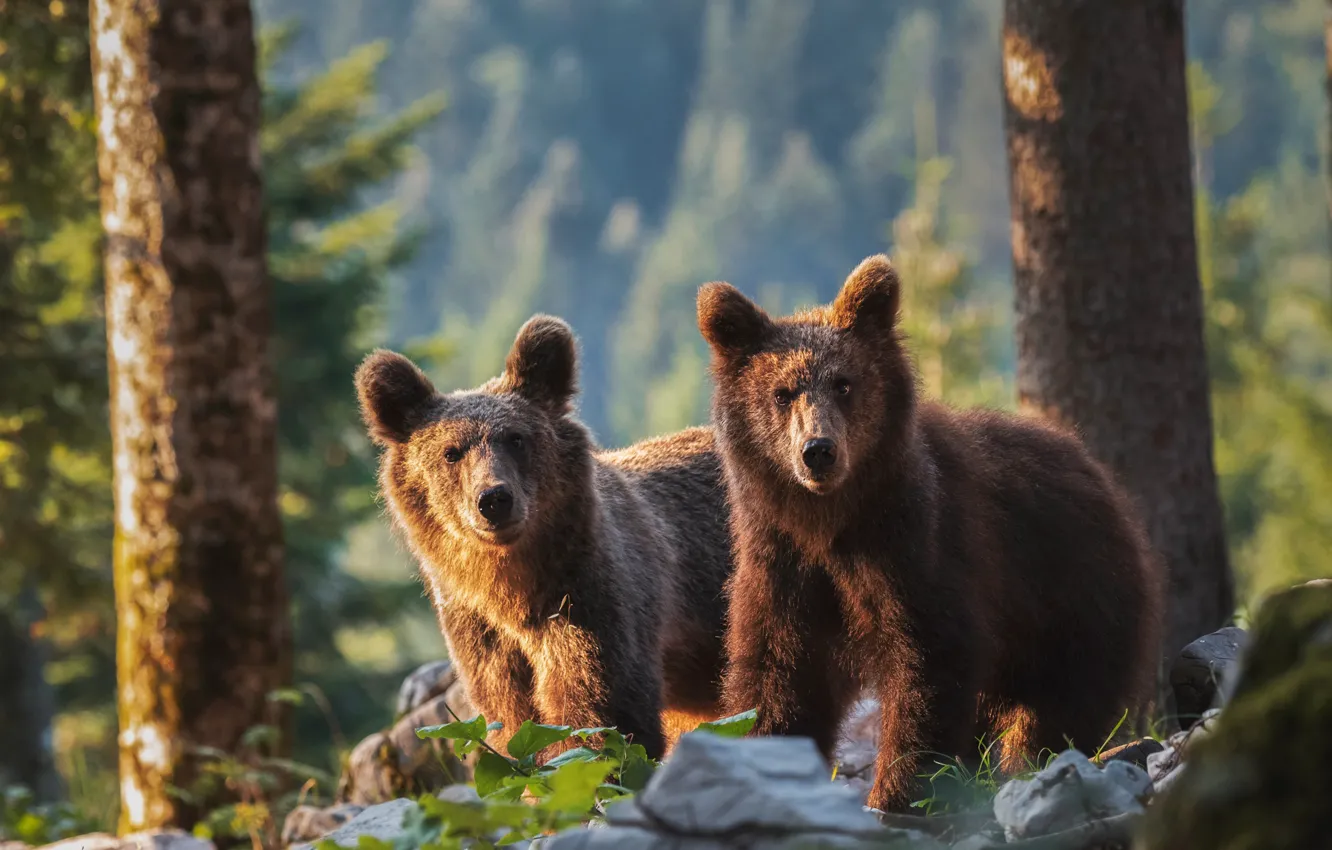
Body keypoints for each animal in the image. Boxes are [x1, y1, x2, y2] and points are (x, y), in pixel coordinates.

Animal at [355, 315, 733, 760]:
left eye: (516, 437)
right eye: (451, 452)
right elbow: (509, 718)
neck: (512, 590)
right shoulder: (481, 635)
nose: (494, 499)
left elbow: (598, 715)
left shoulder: (587, 602)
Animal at [696, 255, 1166, 812]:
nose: (818, 451)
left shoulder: (913, 547)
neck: (829, 521)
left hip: (1072, 595)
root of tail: (1099, 474)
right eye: (782, 393)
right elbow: (776, 680)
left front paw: (898, 792)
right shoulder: (782, 564)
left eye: (844, 383)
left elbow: (927, 660)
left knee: (1063, 700)